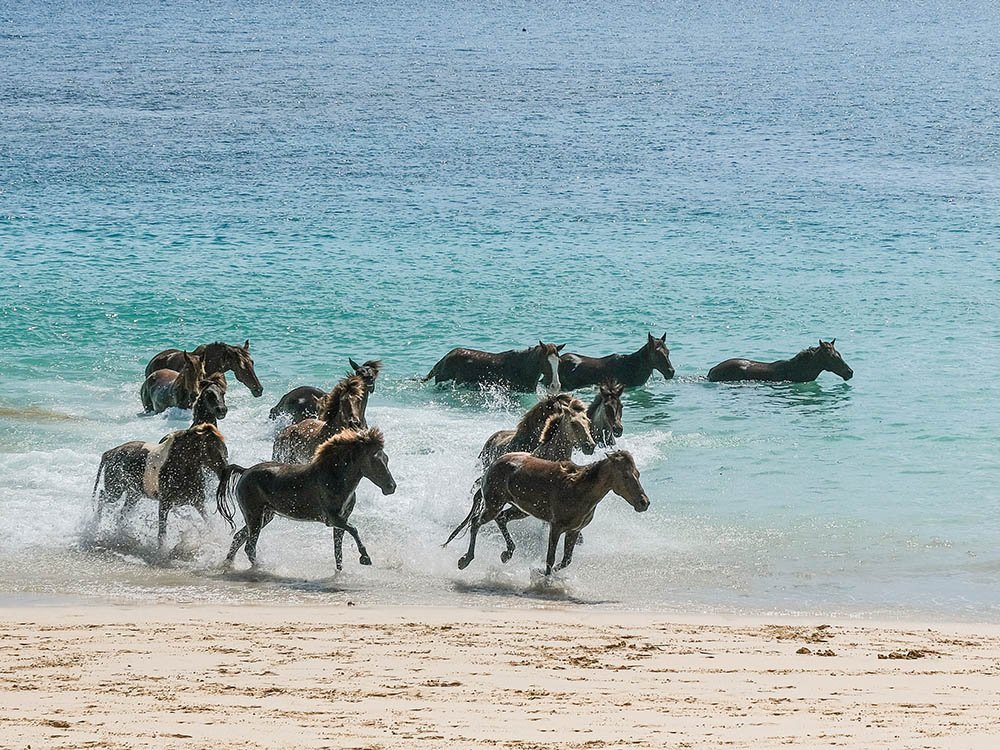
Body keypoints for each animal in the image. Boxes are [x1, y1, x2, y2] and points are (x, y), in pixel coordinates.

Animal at [92, 423, 228, 548]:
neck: (180, 465)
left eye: (223, 447)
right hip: (115, 491)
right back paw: (96, 523)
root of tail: (110, 453)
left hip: (134, 495)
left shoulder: (198, 502)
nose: (224, 470)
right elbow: (162, 533)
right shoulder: (164, 504)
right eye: (211, 447)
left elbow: (209, 522)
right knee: (102, 496)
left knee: (121, 513)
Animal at [216, 428, 396, 570]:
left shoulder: (341, 521)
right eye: (375, 460)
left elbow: (338, 553)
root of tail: (245, 471)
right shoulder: (333, 518)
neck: (334, 477)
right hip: (254, 516)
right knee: (249, 546)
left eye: (386, 458)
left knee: (238, 538)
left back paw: (228, 564)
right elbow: (354, 529)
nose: (391, 487)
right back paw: (261, 568)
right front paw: (365, 558)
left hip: (264, 516)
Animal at [452, 451, 649, 575]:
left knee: (501, 519)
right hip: (494, 504)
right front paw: (545, 580)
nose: (644, 503)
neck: (580, 488)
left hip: (520, 509)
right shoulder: (556, 527)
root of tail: (493, 464)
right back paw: (465, 560)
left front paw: (542, 573)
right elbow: (550, 558)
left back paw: (507, 553)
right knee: (476, 522)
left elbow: (566, 560)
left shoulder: (573, 531)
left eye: (638, 474)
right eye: (625, 476)